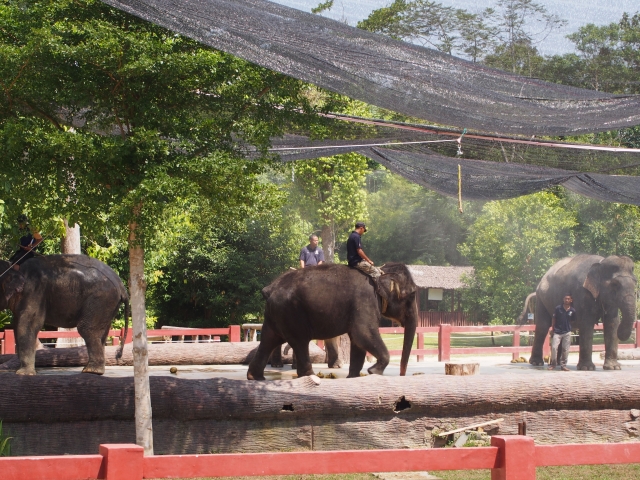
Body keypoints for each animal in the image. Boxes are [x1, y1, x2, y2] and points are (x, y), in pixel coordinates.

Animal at [0, 255, 130, 376]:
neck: (16, 267)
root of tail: (122, 287)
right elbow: (17, 325)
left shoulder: (34, 291)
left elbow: (27, 324)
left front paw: (23, 374)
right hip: (108, 304)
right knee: (102, 334)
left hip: (101, 298)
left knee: (87, 329)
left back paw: (91, 371)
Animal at [246, 262, 420, 378]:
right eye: (412, 295)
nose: (402, 375)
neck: (380, 272)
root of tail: (270, 289)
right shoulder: (365, 301)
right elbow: (363, 334)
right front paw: (373, 371)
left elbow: (357, 341)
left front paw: (353, 377)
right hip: (292, 313)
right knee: (299, 342)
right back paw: (310, 376)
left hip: (276, 315)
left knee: (269, 340)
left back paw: (255, 377)